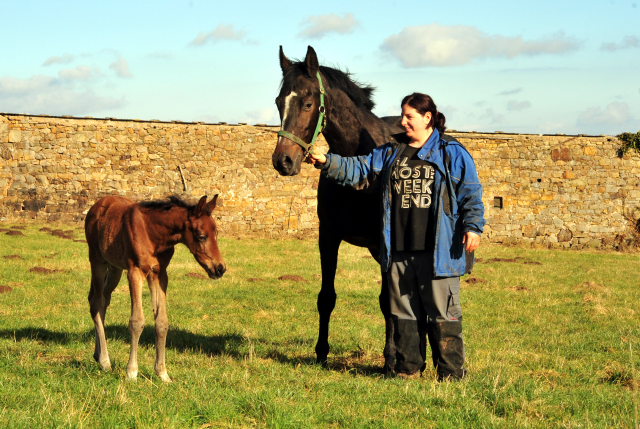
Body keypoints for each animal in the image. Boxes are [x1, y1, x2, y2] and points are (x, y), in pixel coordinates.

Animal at [84, 195, 226, 382]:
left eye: (216, 233)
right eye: (201, 236)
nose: (220, 268)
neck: (153, 234)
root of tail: (99, 204)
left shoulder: (160, 274)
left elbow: (162, 322)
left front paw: (162, 373)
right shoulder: (135, 272)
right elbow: (136, 321)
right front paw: (132, 372)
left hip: (115, 267)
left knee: (104, 301)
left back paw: (97, 354)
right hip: (97, 260)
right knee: (96, 303)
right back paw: (105, 361)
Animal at [272, 45, 402, 370]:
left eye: (308, 103)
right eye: (279, 102)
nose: (283, 161)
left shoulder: (386, 246)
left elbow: (388, 301)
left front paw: (390, 358)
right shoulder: (328, 237)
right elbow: (326, 297)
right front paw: (321, 352)